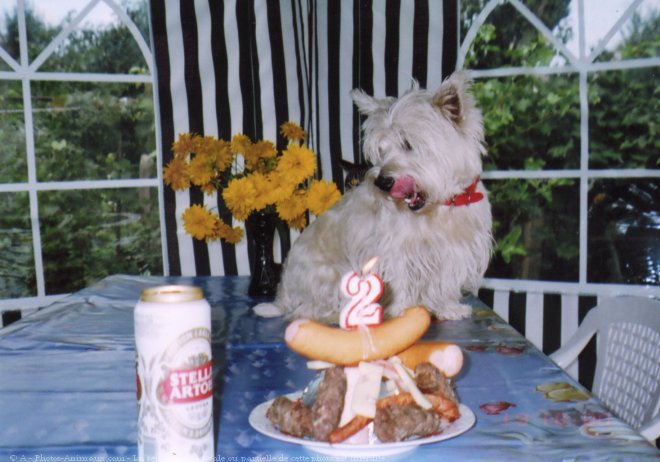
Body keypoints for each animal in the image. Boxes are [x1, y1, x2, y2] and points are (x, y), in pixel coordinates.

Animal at [255, 74, 492, 324]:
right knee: (307, 310)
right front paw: (401, 312)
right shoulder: (395, 249)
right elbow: (401, 281)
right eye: (381, 150)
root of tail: (282, 295)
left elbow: (445, 282)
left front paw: (449, 309)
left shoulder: (453, 251)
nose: (382, 182)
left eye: (408, 144)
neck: (440, 208)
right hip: (328, 275)